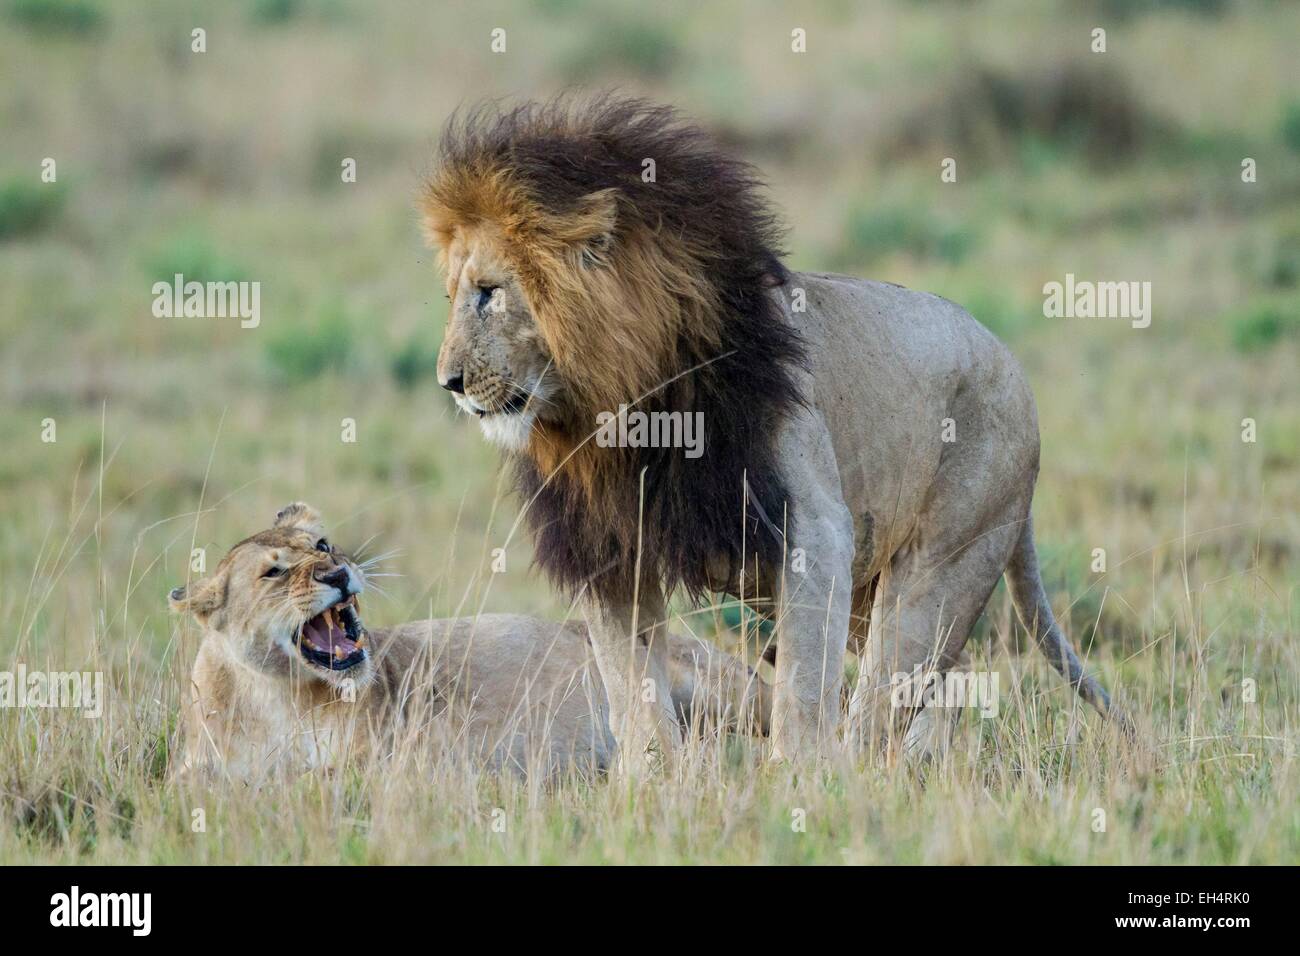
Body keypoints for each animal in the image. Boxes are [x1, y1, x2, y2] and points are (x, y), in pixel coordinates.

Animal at [169, 502, 770, 780]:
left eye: (322, 544)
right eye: (273, 573)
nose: (338, 573)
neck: (279, 696)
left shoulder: (408, 759)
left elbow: (314, 776)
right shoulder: (192, 770)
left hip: (722, 686)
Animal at [420, 95, 1126, 771]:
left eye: (489, 293)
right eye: (454, 295)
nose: (448, 382)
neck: (619, 411)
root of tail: (1015, 368)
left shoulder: (814, 524)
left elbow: (803, 685)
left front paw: (798, 779)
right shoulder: (612, 549)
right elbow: (631, 685)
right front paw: (650, 784)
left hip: (944, 562)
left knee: (886, 694)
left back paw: (866, 779)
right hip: (869, 590)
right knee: (936, 687)